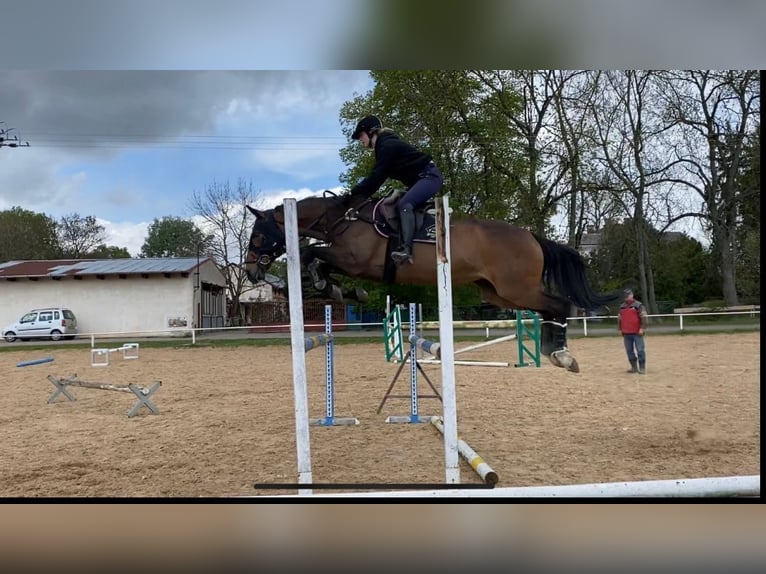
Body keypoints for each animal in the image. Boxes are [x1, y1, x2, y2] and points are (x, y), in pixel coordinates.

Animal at [244, 191, 618, 373]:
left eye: (259, 236)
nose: (250, 272)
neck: (343, 219)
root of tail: (531, 237)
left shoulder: (356, 261)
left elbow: (312, 255)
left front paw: (328, 285)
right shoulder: (350, 263)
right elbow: (320, 264)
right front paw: (338, 288)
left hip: (517, 288)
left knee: (559, 304)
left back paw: (562, 355)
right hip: (500, 294)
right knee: (546, 309)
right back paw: (552, 350)